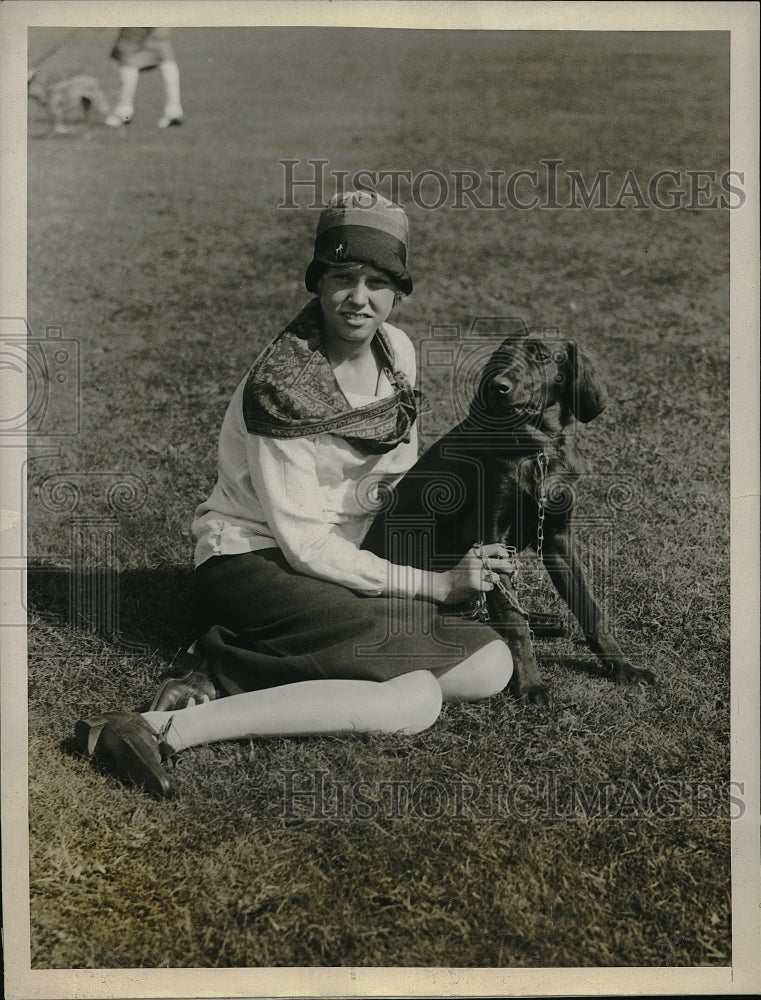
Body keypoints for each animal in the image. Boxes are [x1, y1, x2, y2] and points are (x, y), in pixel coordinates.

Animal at [362, 336, 652, 704]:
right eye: (501, 357)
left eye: (543, 357)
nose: (497, 387)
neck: (538, 449)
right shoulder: (491, 536)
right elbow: (513, 620)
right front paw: (530, 684)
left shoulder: (557, 537)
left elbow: (590, 606)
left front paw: (624, 667)